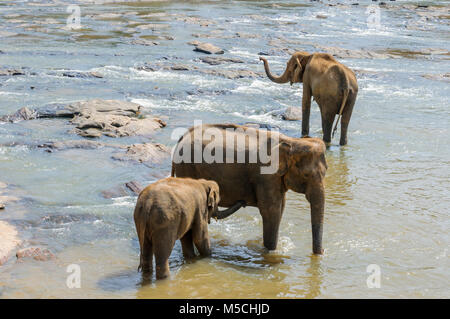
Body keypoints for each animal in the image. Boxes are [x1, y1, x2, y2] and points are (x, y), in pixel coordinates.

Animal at [171, 124, 326, 256]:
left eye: (325, 173)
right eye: (306, 175)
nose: (321, 253)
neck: (291, 141)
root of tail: (182, 137)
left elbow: (280, 208)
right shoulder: (266, 176)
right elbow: (271, 211)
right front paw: (270, 252)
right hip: (186, 167)